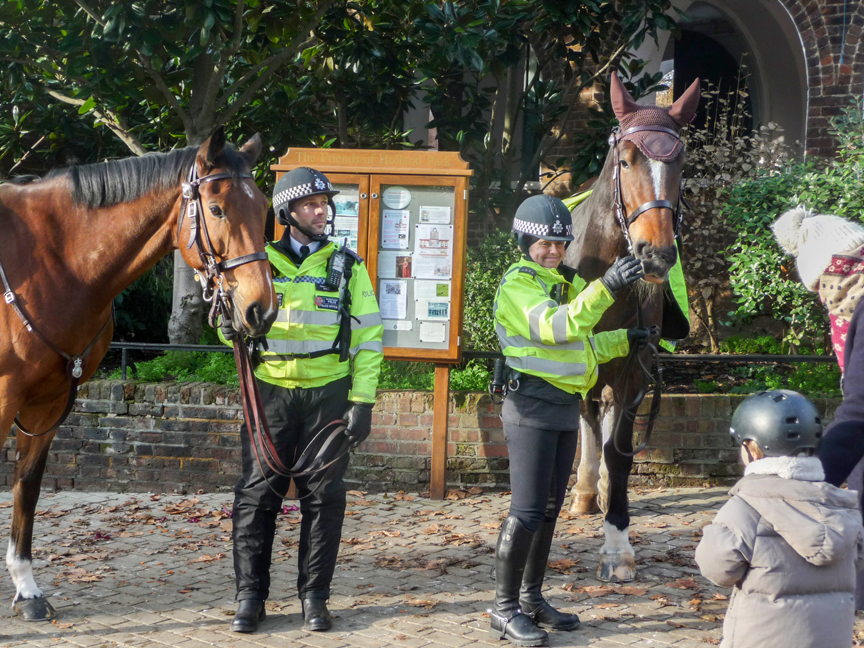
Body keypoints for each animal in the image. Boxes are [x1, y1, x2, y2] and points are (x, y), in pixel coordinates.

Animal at [0, 125, 276, 616]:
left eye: (264, 208)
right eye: (217, 208)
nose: (260, 309)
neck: (48, 260)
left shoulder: (46, 402)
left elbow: (27, 486)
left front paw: (28, 590)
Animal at [564, 74, 700, 584]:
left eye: (680, 161)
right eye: (626, 160)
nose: (655, 254)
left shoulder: (636, 368)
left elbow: (620, 451)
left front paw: (618, 545)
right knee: (586, 414)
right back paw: (586, 490)